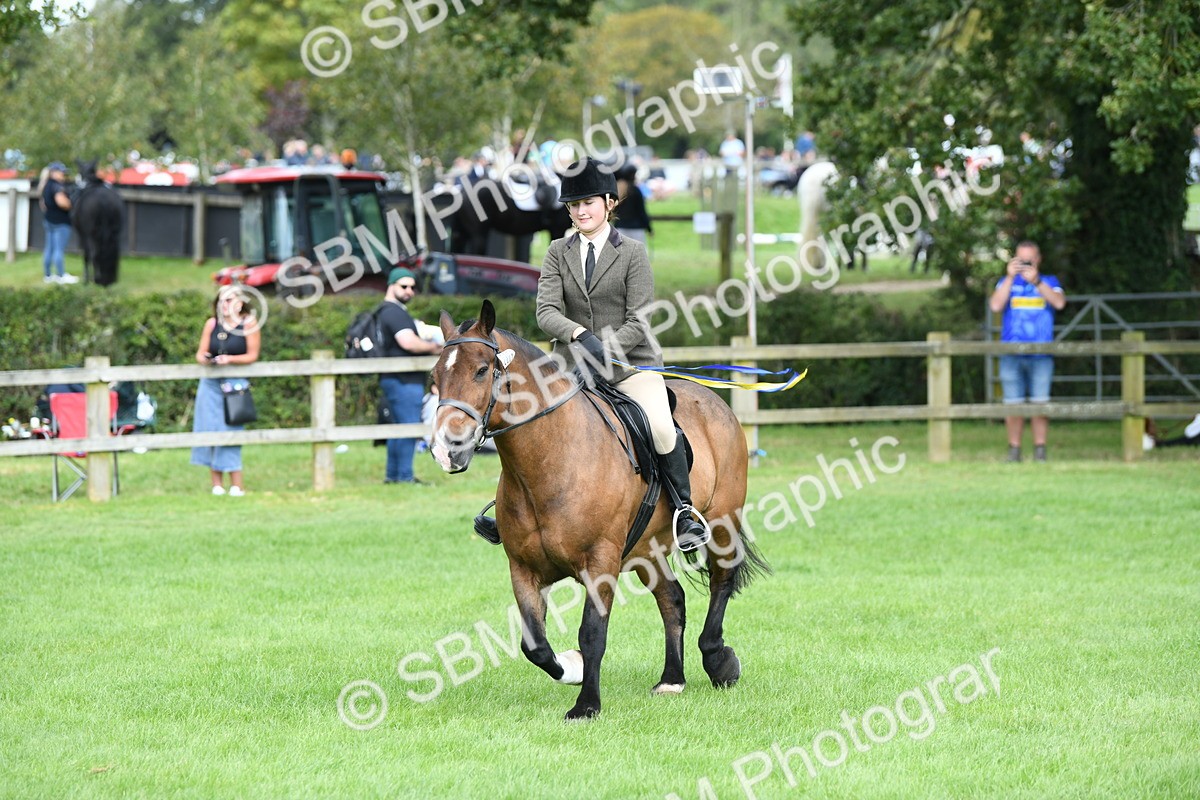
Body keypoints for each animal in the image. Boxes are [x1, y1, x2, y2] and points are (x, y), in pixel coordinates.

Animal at [430, 300, 770, 720]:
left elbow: (592, 633)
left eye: (481, 370)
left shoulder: (600, 562)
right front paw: (573, 667)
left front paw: (586, 704)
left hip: (722, 521)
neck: (549, 461)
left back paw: (719, 661)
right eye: (435, 376)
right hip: (645, 549)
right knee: (672, 598)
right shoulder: (523, 567)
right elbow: (535, 645)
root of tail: (713, 400)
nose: (447, 450)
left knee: (722, 579)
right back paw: (672, 679)